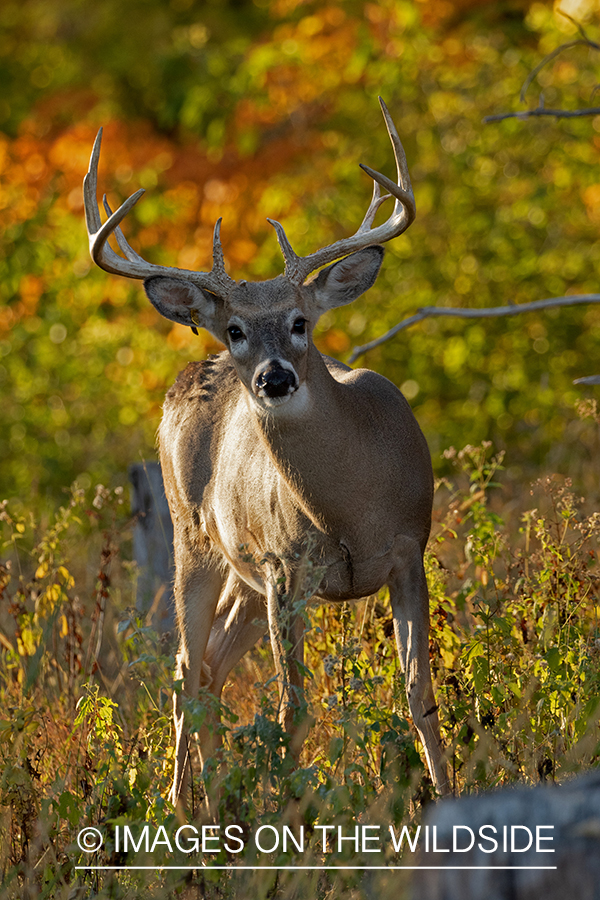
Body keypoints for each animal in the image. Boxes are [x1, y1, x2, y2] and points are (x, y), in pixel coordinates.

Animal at [84, 100, 450, 808]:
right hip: (193, 540)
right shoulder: (286, 570)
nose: (275, 377)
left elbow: (420, 694)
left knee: (211, 668)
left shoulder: (408, 550)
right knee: (185, 671)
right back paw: (180, 809)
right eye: (235, 329)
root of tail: (185, 377)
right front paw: (290, 811)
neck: (351, 511)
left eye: (301, 322)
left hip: (244, 583)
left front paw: (449, 799)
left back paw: (212, 797)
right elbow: (292, 710)